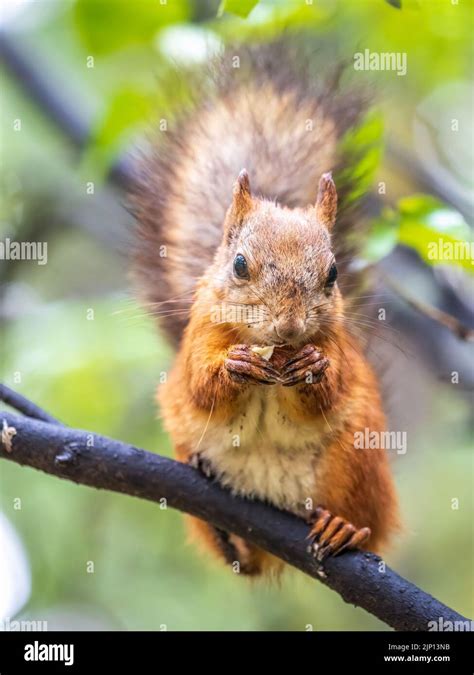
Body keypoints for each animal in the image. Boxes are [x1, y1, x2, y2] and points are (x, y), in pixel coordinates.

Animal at [132, 41, 400, 576]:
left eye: (333, 274)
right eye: (239, 264)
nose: (290, 327)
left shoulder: (338, 349)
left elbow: (330, 388)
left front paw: (312, 367)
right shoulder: (200, 335)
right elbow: (200, 386)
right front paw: (234, 367)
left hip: (356, 458)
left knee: (364, 523)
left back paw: (343, 528)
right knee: (241, 559)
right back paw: (225, 531)